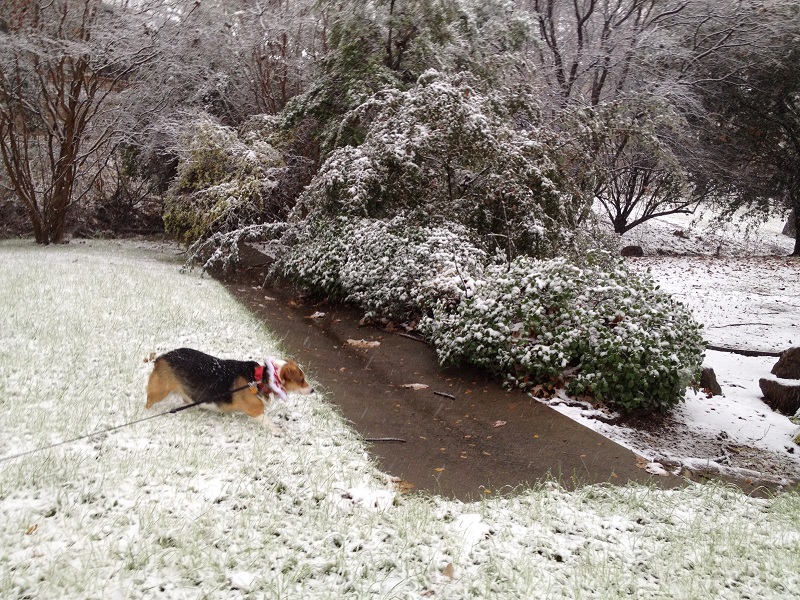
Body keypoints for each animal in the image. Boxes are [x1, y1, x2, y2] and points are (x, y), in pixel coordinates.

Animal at [146, 346, 312, 432]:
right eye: (301, 380)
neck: (262, 378)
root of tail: (161, 357)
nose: (313, 391)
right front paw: (277, 430)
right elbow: (268, 422)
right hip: (159, 391)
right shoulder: (255, 410)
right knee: (148, 402)